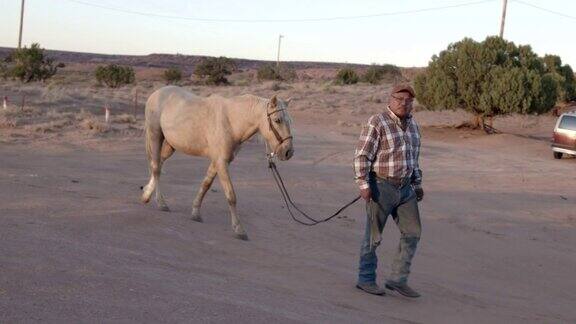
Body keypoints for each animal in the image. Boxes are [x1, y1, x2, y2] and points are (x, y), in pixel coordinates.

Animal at [141, 86, 294, 240]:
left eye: (290, 121)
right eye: (277, 120)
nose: (288, 152)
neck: (231, 121)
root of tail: (157, 93)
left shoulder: (217, 161)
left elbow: (206, 185)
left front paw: (195, 213)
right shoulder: (221, 162)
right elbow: (231, 196)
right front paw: (239, 229)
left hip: (170, 145)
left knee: (158, 164)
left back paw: (147, 194)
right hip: (155, 136)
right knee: (156, 168)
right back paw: (160, 203)